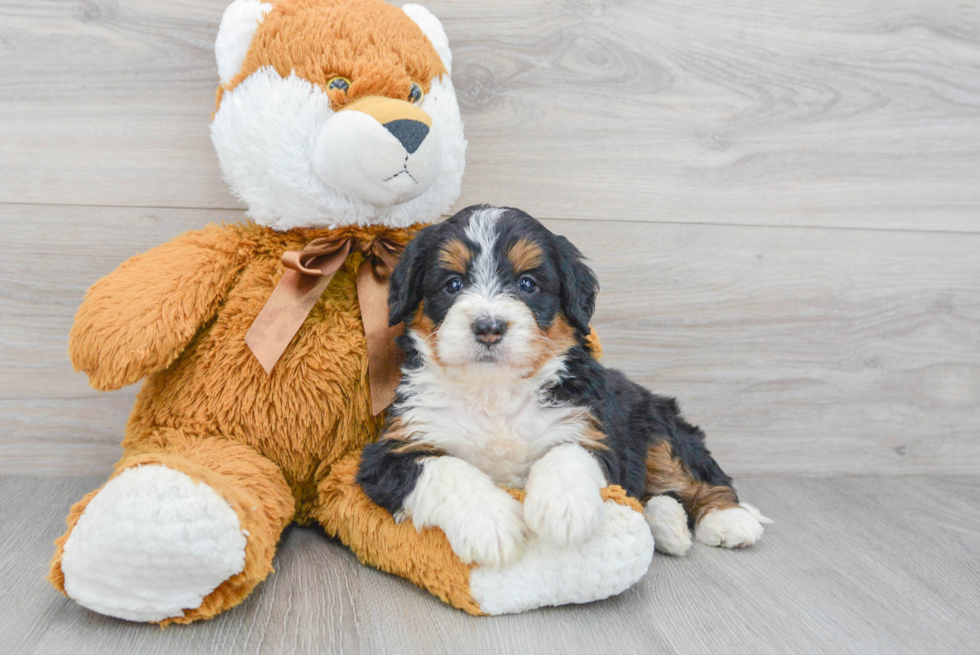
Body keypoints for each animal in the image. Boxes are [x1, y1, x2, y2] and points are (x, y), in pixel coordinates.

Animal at [356, 206, 768, 568]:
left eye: (527, 284)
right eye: (452, 284)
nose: (489, 327)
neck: (495, 391)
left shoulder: (591, 428)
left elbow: (567, 452)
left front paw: (564, 509)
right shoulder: (391, 451)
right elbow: (447, 470)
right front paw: (490, 524)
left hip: (658, 426)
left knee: (697, 475)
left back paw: (727, 518)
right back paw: (668, 524)